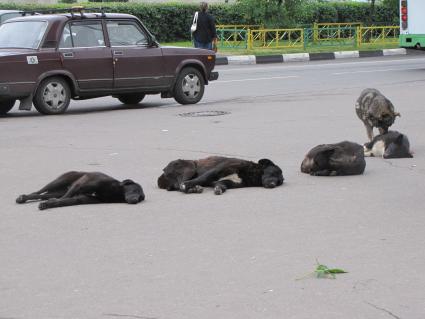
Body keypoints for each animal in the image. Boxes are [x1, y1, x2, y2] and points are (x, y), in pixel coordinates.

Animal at [15, 171, 145, 211]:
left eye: (140, 197)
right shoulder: (79, 185)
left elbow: (64, 201)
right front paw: (50, 203)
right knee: (37, 192)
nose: (135, 200)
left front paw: (50, 204)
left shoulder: (81, 198)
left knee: (44, 195)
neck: (114, 190)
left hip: (57, 190)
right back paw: (23, 197)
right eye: (135, 190)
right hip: (59, 181)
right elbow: (64, 198)